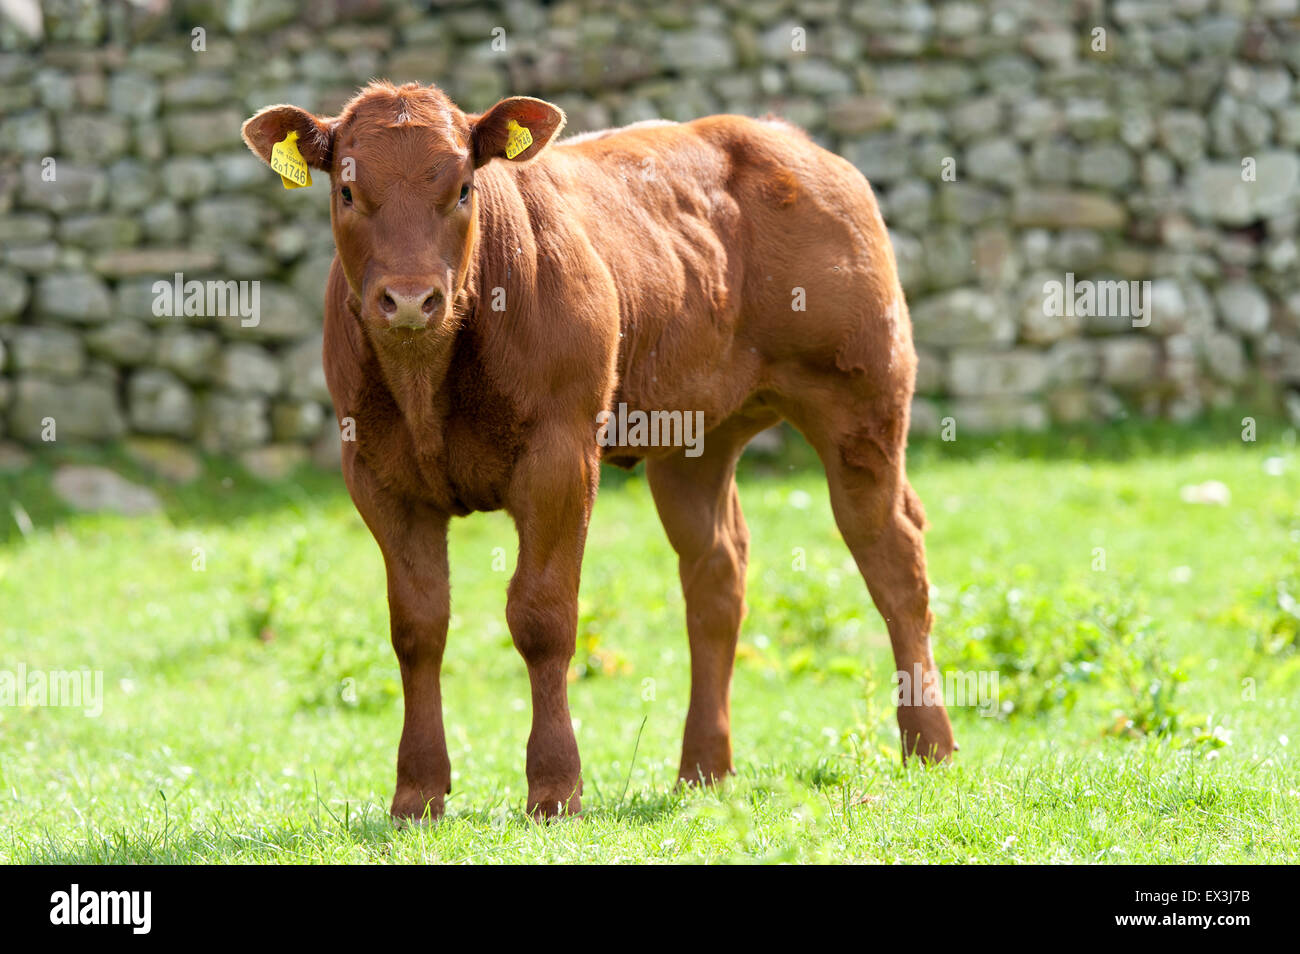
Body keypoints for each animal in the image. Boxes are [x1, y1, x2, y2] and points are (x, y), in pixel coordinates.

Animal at [244, 82, 956, 821]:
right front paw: (417, 793)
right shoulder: (377, 475)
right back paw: (703, 768)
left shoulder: (561, 454)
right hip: (697, 437)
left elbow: (541, 616)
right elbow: (417, 627)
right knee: (716, 574)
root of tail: (781, 135)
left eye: (465, 188)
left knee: (893, 559)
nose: (410, 299)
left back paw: (928, 745)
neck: (426, 382)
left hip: (862, 401)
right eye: (347, 191)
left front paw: (555, 787)